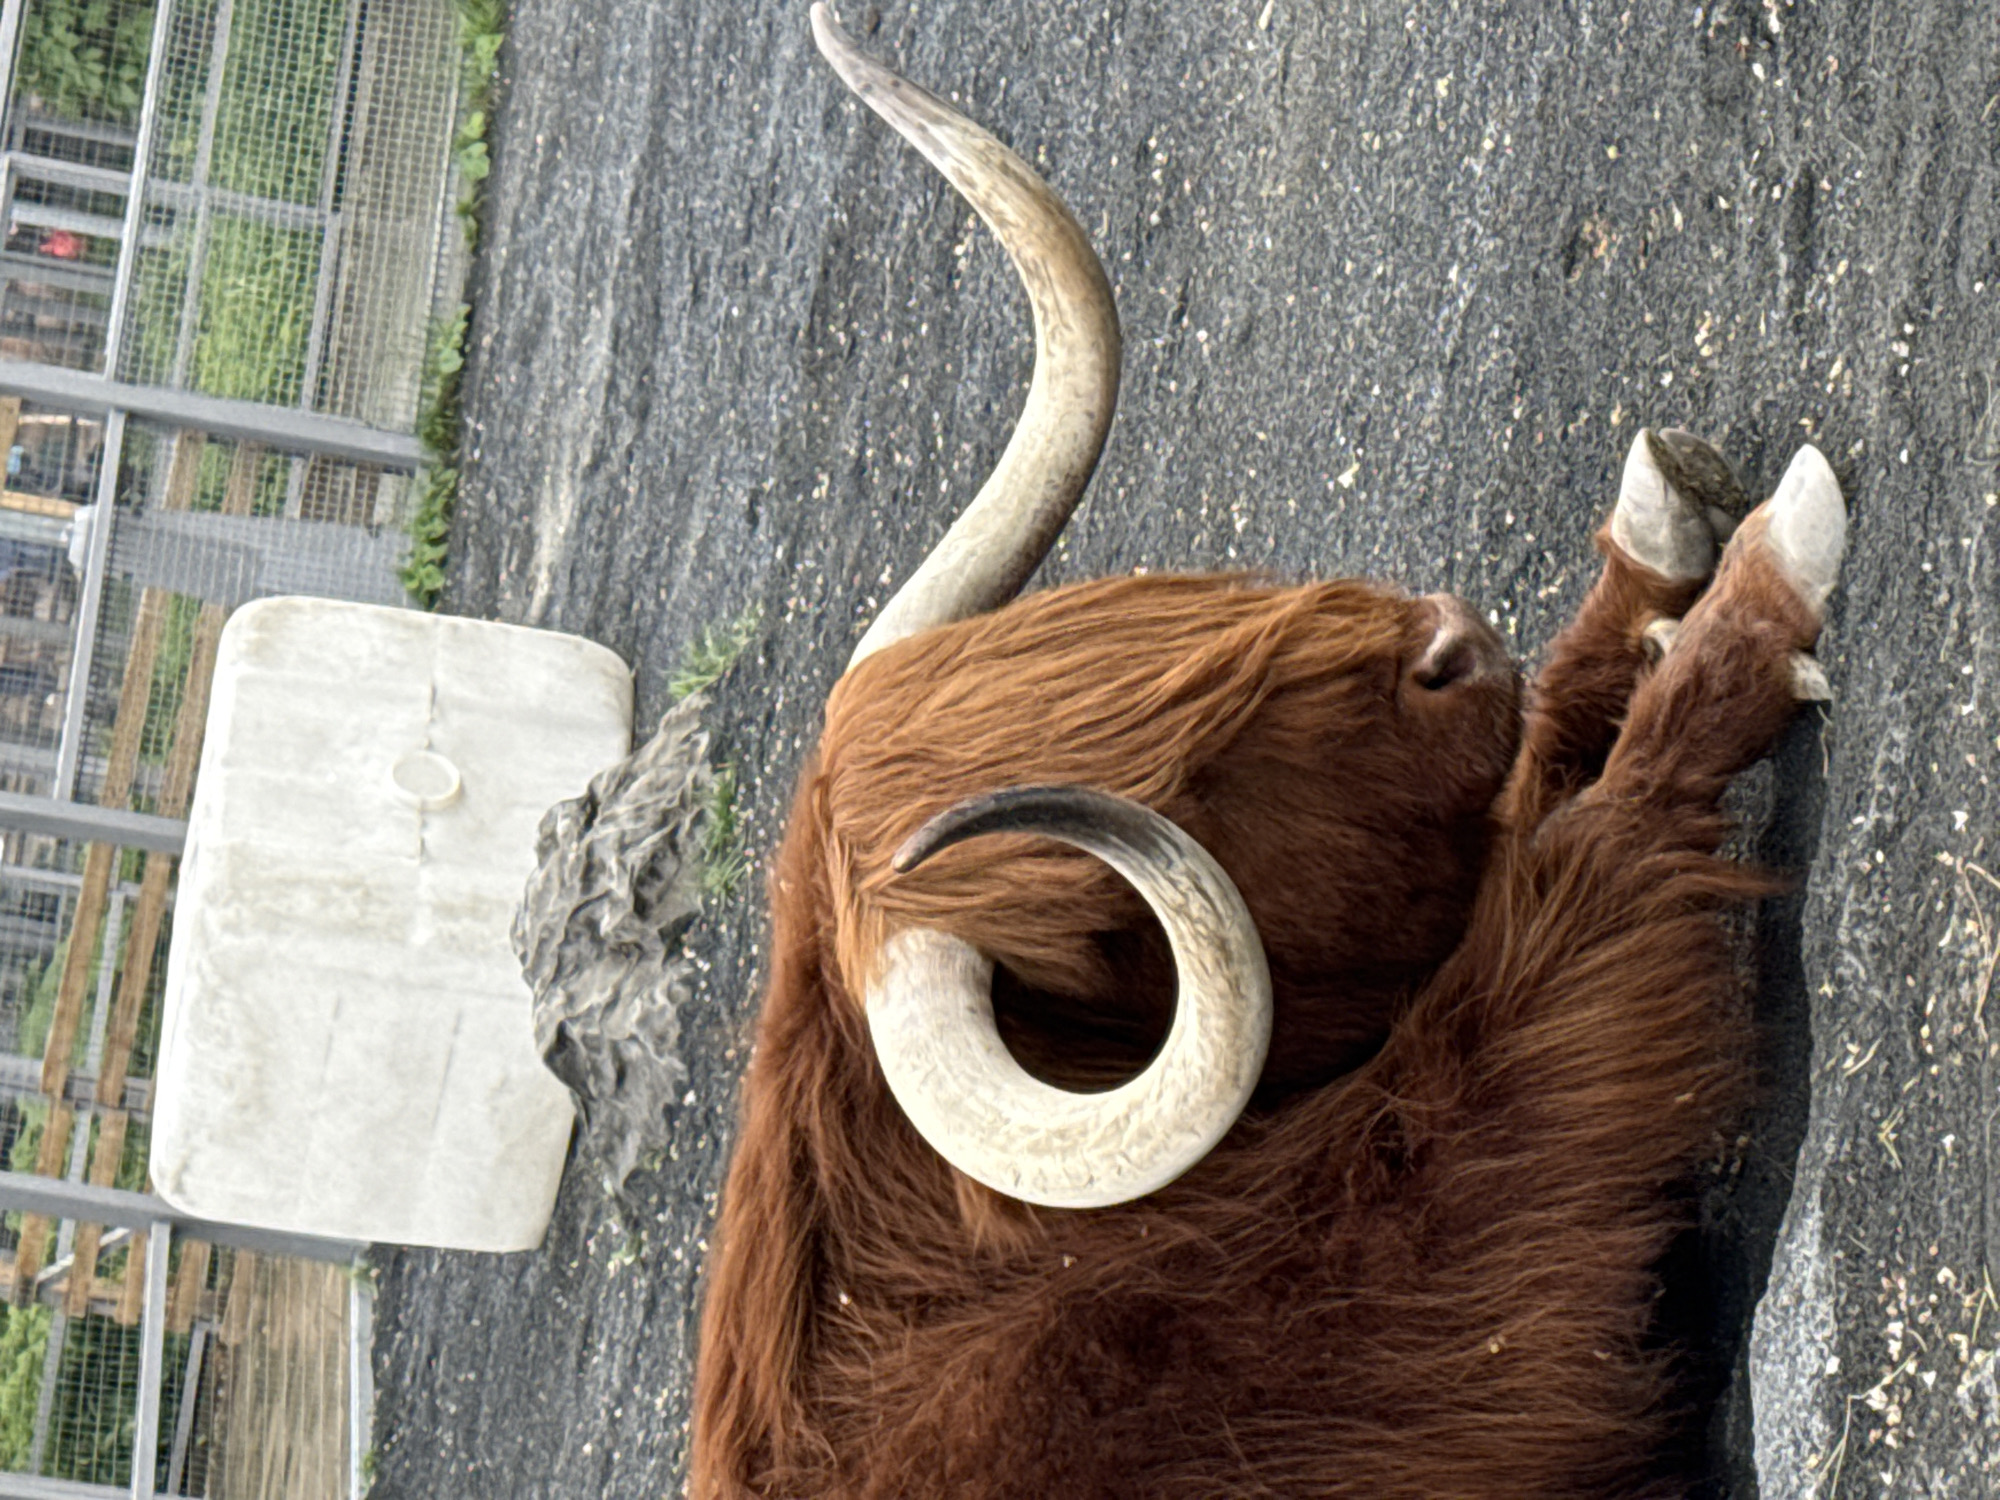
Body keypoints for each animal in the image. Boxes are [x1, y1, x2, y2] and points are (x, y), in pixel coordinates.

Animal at [687, 8, 1847, 1497]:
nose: (1453, 642)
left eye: (1169, 608)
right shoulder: (1436, 1298)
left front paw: (1657, 545)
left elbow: (1540, 802)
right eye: (1188, 787)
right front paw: (1752, 605)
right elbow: (1568, 900)